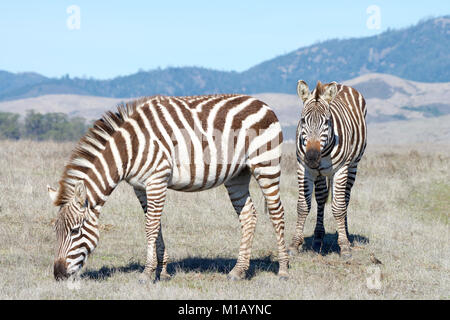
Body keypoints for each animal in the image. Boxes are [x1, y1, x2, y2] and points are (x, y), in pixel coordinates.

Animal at [47, 94, 290, 282]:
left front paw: (146, 274)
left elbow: (150, 227)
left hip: (266, 165)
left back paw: (283, 270)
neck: (130, 149)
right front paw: (162, 271)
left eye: (75, 231)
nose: (58, 275)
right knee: (248, 216)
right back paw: (238, 272)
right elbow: (156, 226)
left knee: (277, 213)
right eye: (55, 231)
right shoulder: (141, 187)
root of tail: (261, 103)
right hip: (238, 175)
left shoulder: (157, 179)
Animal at [290, 80, 368, 258]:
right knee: (321, 198)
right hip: (320, 173)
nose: (312, 157)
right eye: (303, 120)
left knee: (345, 199)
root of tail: (340, 85)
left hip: (352, 166)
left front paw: (344, 246)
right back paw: (318, 238)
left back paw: (346, 234)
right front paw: (294, 244)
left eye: (327, 121)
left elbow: (338, 207)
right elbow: (303, 206)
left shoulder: (341, 169)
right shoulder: (303, 168)